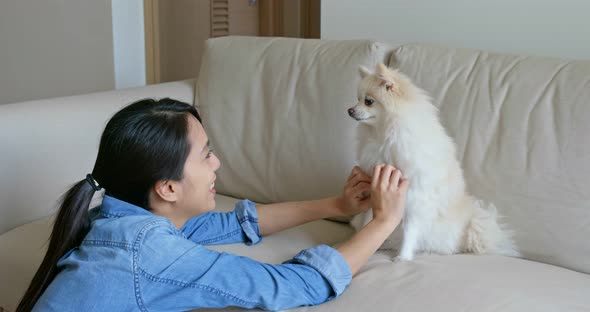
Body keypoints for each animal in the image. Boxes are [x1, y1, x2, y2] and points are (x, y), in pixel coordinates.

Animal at [350, 64, 520, 260]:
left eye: (368, 101)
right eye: (357, 99)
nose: (350, 110)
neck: (383, 135)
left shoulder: (415, 197)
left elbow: (409, 229)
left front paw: (403, 257)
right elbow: (368, 217)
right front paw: (362, 236)